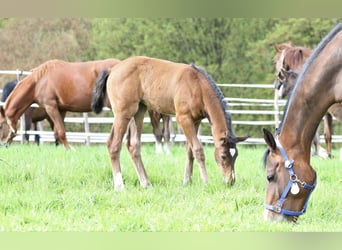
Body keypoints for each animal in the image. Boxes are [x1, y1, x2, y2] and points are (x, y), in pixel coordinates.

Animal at [92, 55, 248, 190]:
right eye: (223, 156)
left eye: (236, 155)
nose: (230, 181)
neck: (197, 86)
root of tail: (113, 69)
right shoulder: (183, 118)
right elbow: (198, 150)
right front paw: (205, 182)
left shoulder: (195, 120)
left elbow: (189, 151)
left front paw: (187, 181)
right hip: (123, 113)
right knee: (113, 144)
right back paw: (119, 186)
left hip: (139, 111)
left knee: (133, 145)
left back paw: (146, 183)